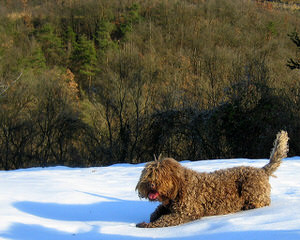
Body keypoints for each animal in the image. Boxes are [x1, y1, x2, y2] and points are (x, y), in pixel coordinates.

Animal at [135, 130, 288, 228]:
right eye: (148, 175)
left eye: (160, 175)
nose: (150, 185)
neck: (180, 187)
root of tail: (261, 170)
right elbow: (156, 212)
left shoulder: (186, 212)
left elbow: (164, 220)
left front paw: (146, 225)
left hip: (250, 189)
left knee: (261, 202)